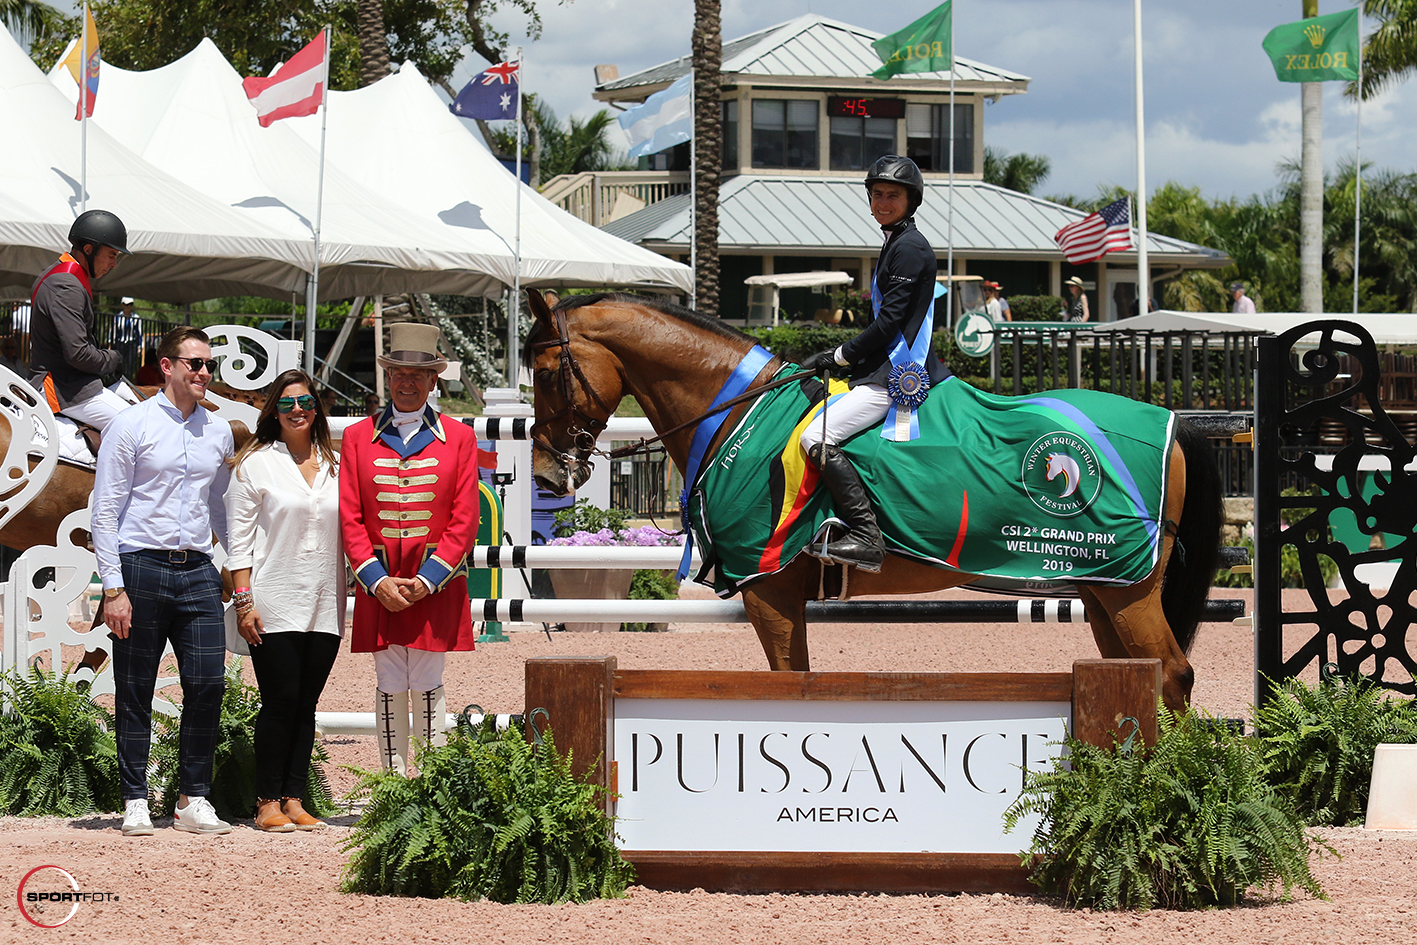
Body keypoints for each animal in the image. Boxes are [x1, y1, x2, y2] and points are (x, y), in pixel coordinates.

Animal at [527, 291, 1224, 714]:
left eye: (545, 371)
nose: (547, 475)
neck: (735, 413)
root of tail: (1172, 421)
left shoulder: (769, 587)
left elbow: (789, 681)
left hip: (1129, 587)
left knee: (1173, 673)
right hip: (1103, 587)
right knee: (1140, 673)